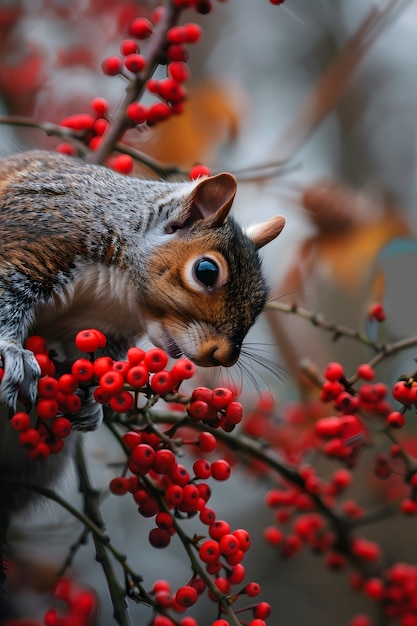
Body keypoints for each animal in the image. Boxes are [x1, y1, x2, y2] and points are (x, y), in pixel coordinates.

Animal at [0, 150, 284, 512]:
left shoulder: (104, 327)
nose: (224, 356)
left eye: (262, 300)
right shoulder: (38, 240)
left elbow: (93, 359)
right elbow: (6, 295)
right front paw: (13, 351)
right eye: (206, 271)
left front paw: (91, 401)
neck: (117, 290)